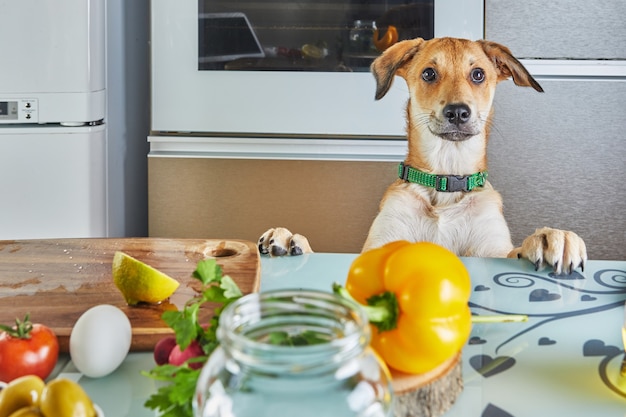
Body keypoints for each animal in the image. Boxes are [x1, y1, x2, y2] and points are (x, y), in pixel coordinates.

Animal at [260, 37, 584, 274]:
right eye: (429, 73)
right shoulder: (379, 245)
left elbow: (513, 251)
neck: (444, 182)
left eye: (478, 74)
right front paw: (290, 239)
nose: (457, 112)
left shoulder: (490, 248)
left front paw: (550, 238)